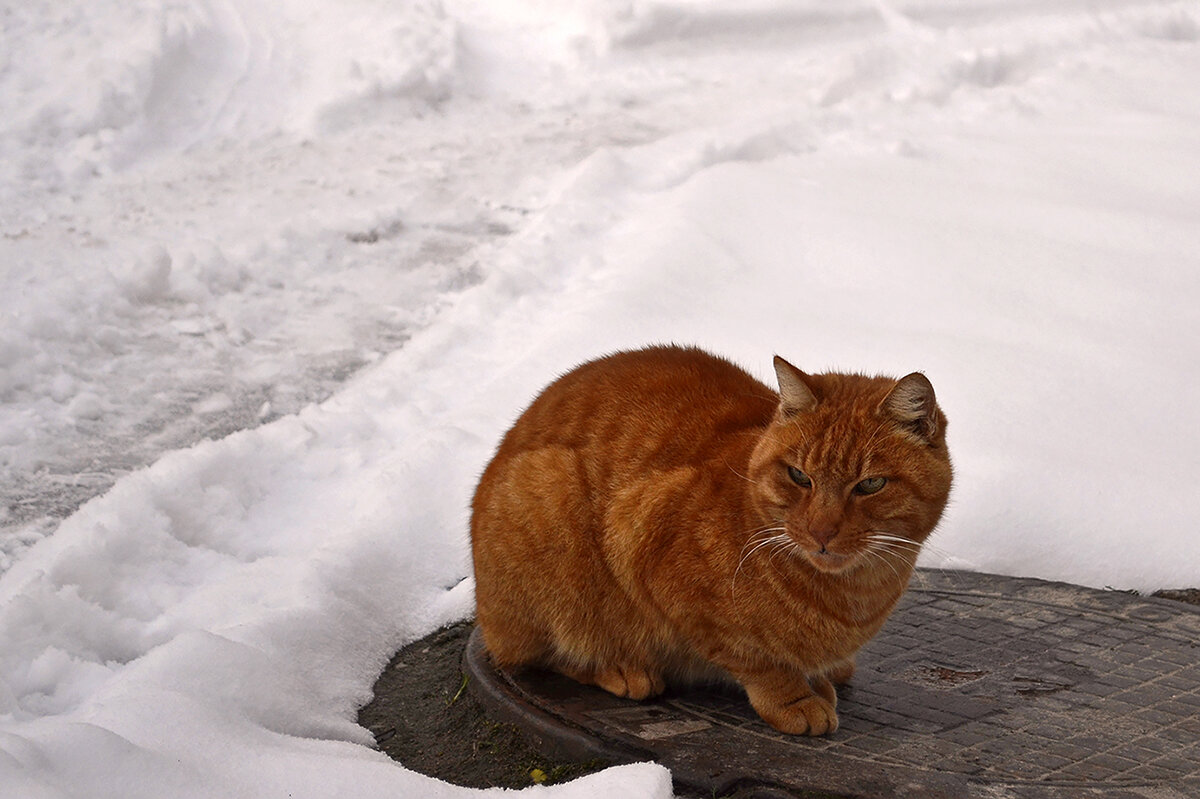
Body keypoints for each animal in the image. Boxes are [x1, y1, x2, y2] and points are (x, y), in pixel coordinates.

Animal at [472, 343, 950, 734]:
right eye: (799, 476)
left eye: (870, 484)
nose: (821, 530)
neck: (854, 595)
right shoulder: (646, 550)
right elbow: (755, 659)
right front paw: (795, 697)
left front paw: (819, 677)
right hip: (552, 503)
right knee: (539, 652)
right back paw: (622, 668)